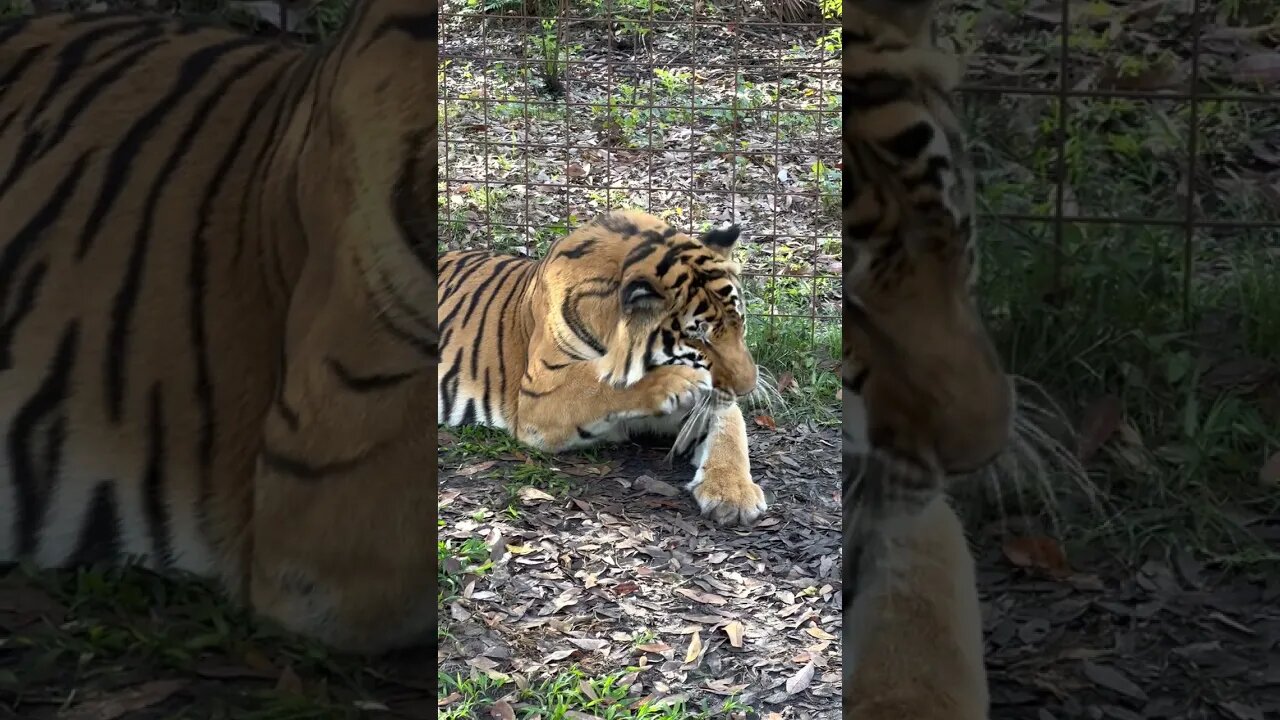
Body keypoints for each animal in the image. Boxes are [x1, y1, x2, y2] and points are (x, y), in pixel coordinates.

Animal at [437, 207, 768, 527]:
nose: (748, 388)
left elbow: (729, 429)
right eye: (699, 338)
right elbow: (600, 386)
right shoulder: (539, 393)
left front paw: (733, 492)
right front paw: (679, 379)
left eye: (740, 324)